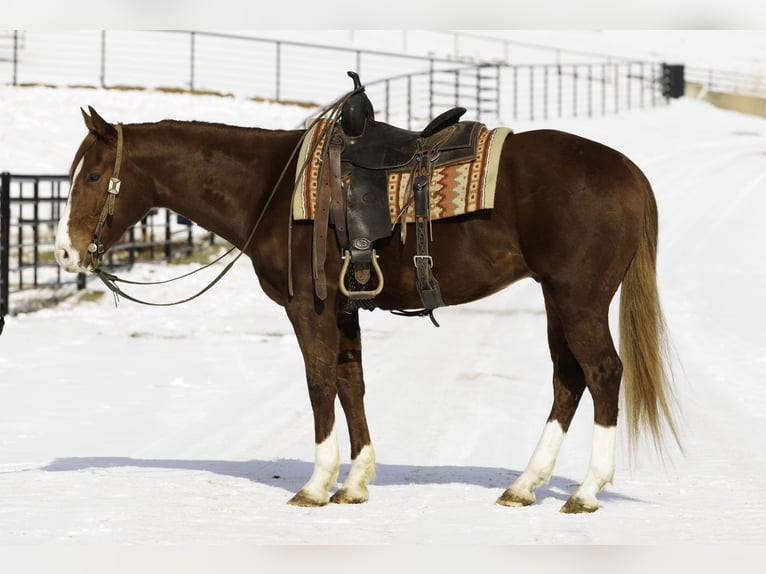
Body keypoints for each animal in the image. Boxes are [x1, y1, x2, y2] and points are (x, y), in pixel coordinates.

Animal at [54, 105, 680, 514]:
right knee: (568, 379)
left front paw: (316, 484)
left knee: (603, 373)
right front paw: (355, 482)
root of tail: (628, 172)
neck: (271, 188)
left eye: (93, 174)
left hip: (579, 299)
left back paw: (587, 490)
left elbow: (318, 381)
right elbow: (350, 382)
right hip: (557, 298)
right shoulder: (344, 307)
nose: (64, 252)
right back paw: (525, 484)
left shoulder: (308, 307)